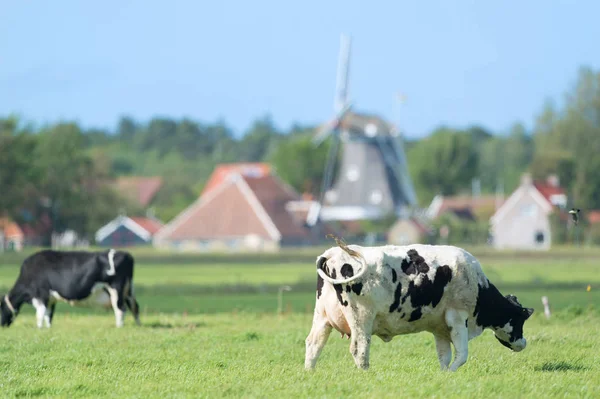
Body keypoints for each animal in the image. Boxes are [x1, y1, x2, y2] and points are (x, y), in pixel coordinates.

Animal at [0, 248, 141, 330]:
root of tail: (126, 254)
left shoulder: (41, 295)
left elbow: (39, 315)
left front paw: (39, 329)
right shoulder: (51, 299)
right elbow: (48, 316)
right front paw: (48, 329)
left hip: (116, 289)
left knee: (120, 309)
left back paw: (119, 327)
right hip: (129, 290)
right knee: (134, 307)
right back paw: (138, 325)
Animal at [304, 244, 536, 372]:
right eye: (520, 319)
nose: (523, 343)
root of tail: (332, 253)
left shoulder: (440, 327)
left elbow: (444, 355)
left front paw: (443, 375)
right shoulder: (457, 317)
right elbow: (462, 354)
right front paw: (452, 373)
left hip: (322, 317)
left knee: (313, 344)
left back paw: (309, 372)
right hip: (361, 318)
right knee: (359, 349)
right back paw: (366, 374)